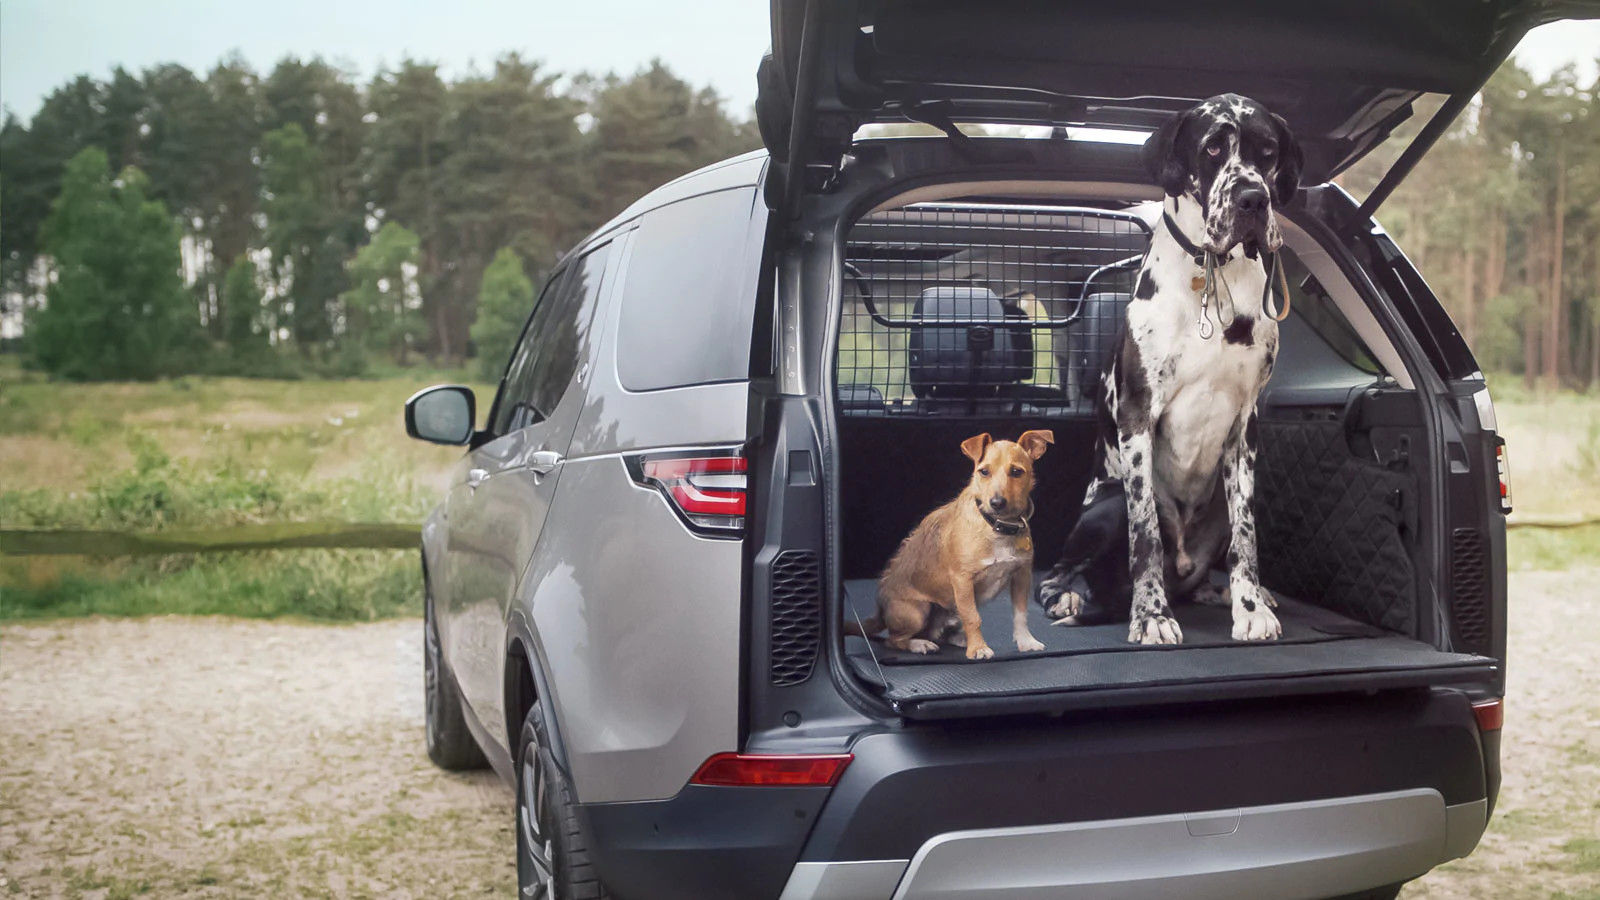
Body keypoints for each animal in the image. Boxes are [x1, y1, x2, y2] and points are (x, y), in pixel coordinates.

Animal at [857, 432, 1056, 656]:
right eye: (984, 472)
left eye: (1016, 472)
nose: (997, 503)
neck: (996, 526)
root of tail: (880, 611)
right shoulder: (962, 580)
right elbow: (973, 617)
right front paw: (978, 648)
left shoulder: (1022, 576)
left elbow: (1021, 614)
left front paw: (1025, 640)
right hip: (918, 612)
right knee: (894, 640)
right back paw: (919, 644)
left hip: (950, 611)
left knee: (939, 633)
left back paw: (956, 639)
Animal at [1036, 94, 1299, 640]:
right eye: (1213, 147)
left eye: (1268, 151)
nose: (1252, 200)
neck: (1214, 274)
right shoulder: (1138, 415)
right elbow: (1146, 536)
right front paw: (1152, 615)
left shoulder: (1245, 425)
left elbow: (1247, 535)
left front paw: (1250, 607)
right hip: (1105, 505)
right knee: (1060, 572)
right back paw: (1068, 598)